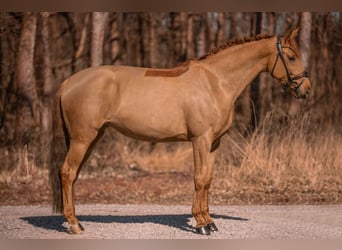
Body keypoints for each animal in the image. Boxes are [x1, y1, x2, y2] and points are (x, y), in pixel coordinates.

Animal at [48, 28, 312, 235]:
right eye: (291, 57)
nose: (306, 90)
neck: (216, 82)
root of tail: (69, 81)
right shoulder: (200, 140)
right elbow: (199, 178)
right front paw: (201, 224)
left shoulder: (214, 143)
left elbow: (208, 179)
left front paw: (208, 220)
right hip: (82, 139)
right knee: (67, 173)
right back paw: (74, 224)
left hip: (92, 138)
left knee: (73, 175)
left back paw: (74, 220)